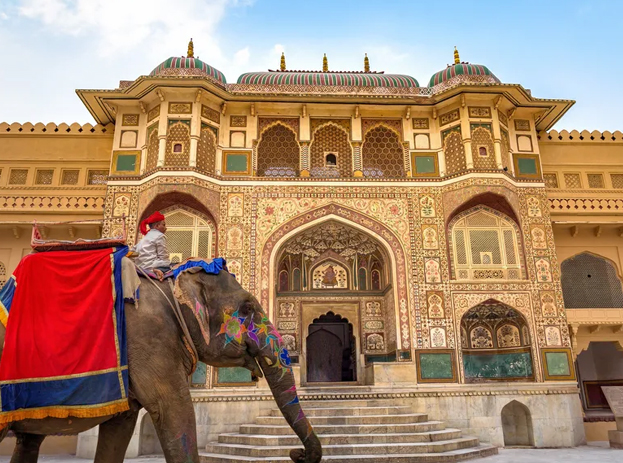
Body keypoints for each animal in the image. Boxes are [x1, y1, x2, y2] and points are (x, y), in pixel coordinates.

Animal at [0, 264, 322, 463]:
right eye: (247, 308)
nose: (296, 454)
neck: (168, 286)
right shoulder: (149, 338)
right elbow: (175, 411)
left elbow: (120, 428)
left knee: (29, 440)